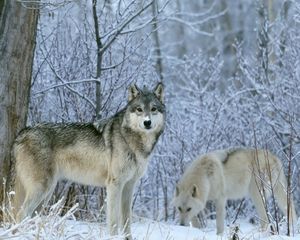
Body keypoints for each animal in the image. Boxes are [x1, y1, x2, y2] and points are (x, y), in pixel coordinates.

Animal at [12, 83, 165, 240]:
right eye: (139, 109)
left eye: (153, 109)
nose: (147, 122)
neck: (132, 140)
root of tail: (22, 133)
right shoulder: (114, 185)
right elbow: (114, 221)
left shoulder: (129, 186)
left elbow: (127, 220)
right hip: (41, 189)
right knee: (20, 214)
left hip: (46, 194)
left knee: (30, 217)